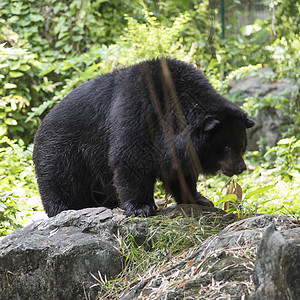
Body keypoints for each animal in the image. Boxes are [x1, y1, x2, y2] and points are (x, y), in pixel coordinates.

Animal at [32, 58, 253, 218]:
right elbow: (131, 158)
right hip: (62, 153)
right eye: (226, 147)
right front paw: (141, 207)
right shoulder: (138, 111)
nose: (240, 167)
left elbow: (180, 171)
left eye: (241, 145)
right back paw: (63, 210)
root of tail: (40, 125)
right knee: (61, 184)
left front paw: (199, 199)